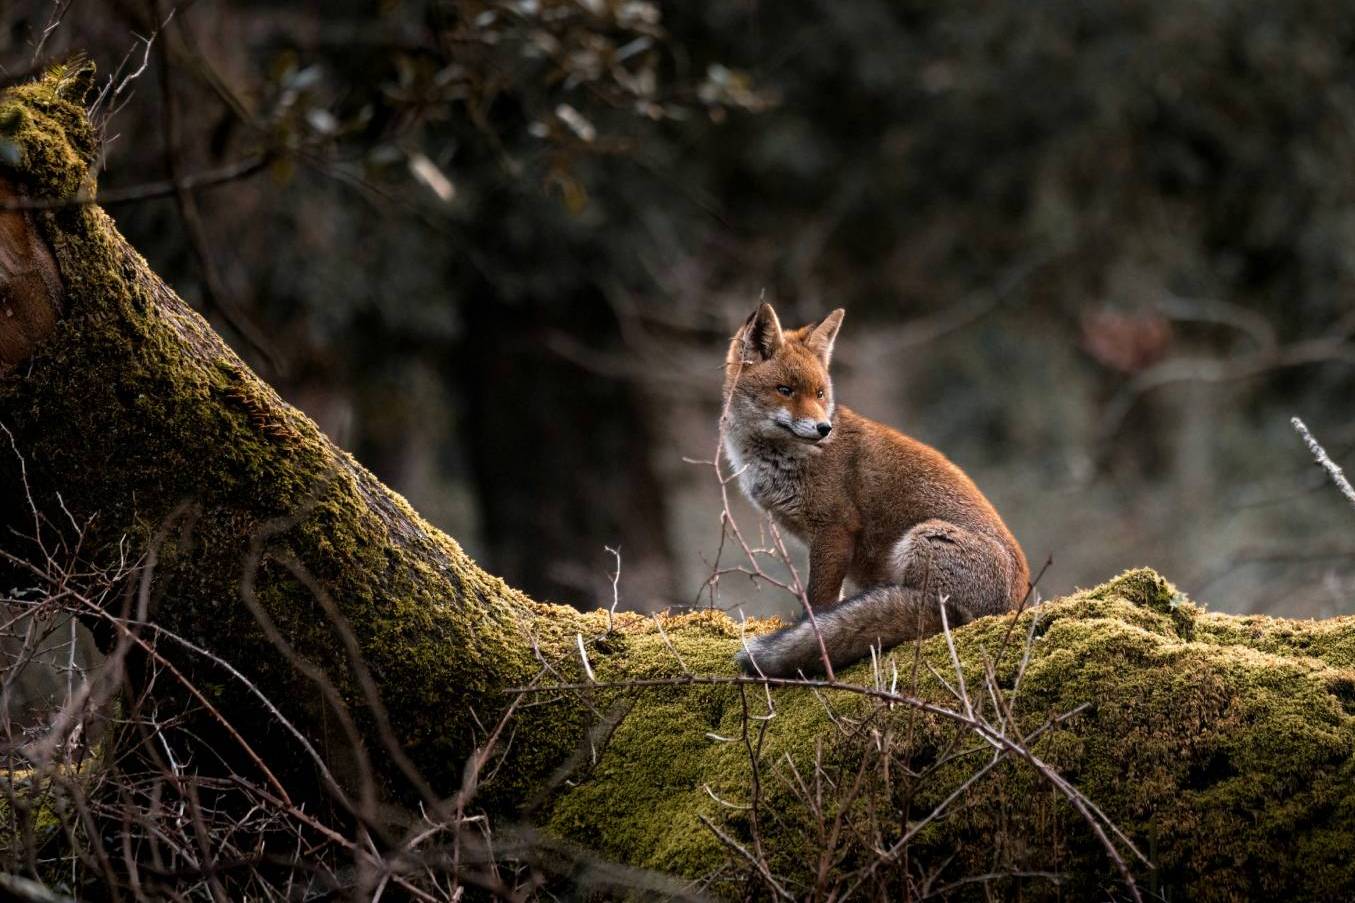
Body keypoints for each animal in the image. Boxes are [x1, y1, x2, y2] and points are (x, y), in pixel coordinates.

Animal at [725, 303, 1029, 677]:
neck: (780, 461)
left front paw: (812, 637)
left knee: (938, 616)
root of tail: (1015, 605)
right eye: (785, 390)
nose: (824, 428)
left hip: (924, 540)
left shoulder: (835, 529)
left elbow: (819, 604)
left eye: (820, 394)